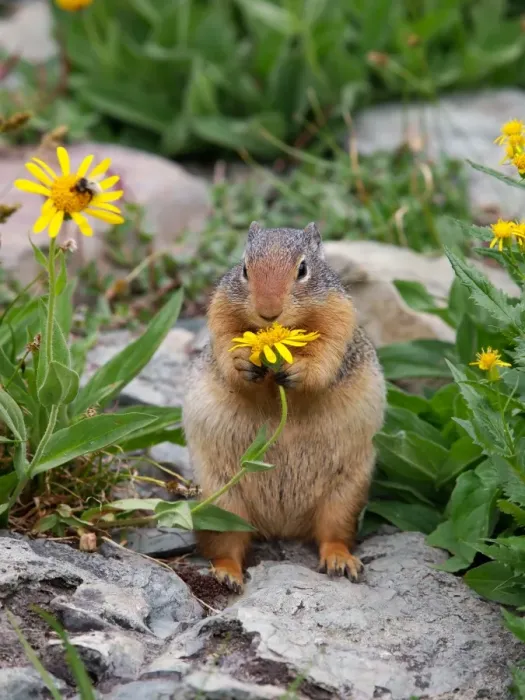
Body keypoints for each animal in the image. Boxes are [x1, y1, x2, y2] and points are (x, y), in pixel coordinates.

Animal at [182, 222, 386, 592]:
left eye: (303, 269)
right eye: (245, 268)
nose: (268, 311)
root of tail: (282, 527)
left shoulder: (339, 316)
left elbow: (326, 355)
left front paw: (298, 369)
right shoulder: (221, 309)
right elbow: (225, 343)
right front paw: (241, 362)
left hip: (345, 493)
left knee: (333, 534)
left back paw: (341, 561)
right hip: (221, 500)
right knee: (227, 544)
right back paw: (226, 574)